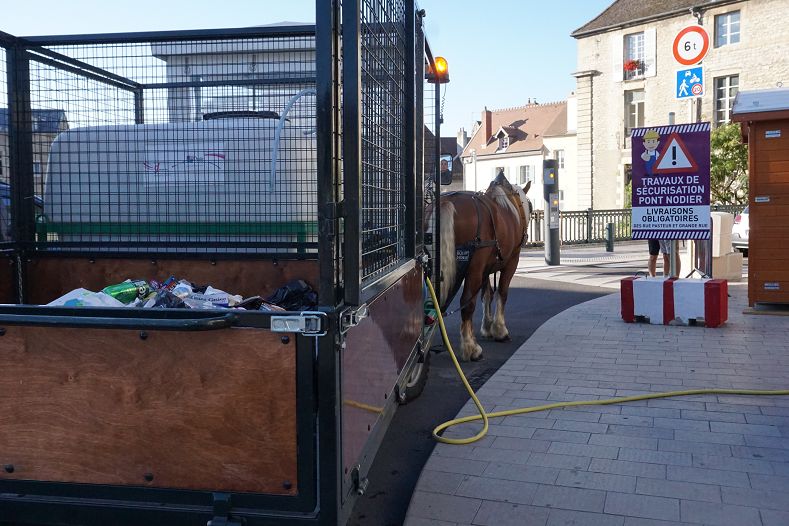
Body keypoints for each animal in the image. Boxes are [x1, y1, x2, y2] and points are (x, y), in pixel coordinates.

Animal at [434, 173, 532, 364]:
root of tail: (446, 202)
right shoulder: (512, 261)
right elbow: (502, 292)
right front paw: (500, 330)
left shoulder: (486, 268)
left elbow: (486, 294)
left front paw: (487, 327)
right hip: (474, 267)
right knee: (466, 302)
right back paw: (471, 348)